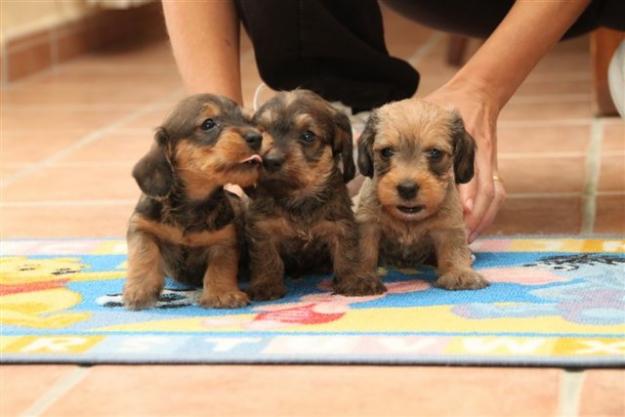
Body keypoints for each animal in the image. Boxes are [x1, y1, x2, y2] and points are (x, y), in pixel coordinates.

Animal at [124, 94, 264, 308]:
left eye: (247, 120)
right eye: (208, 124)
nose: (257, 137)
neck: (192, 204)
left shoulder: (225, 241)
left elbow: (221, 266)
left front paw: (222, 293)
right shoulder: (141, 226)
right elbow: (144, 253)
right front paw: (140, 289)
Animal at [245, 90, 386, 300]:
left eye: (307, 136)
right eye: (261, 134)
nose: (270, 160)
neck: (298, 198)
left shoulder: (341, 226)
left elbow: (347, 255)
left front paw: (355, 280)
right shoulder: (263, 229)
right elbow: (266, 258)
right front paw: (265, 284)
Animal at [356, 98, 488, 290]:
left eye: (435, 153)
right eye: (386, 152)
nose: (407, 188)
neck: (409, 221)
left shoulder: (448, 227)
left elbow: (454, 251)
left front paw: (460, 273)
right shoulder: (368, 224)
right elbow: (364, 251)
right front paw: (361, 275)